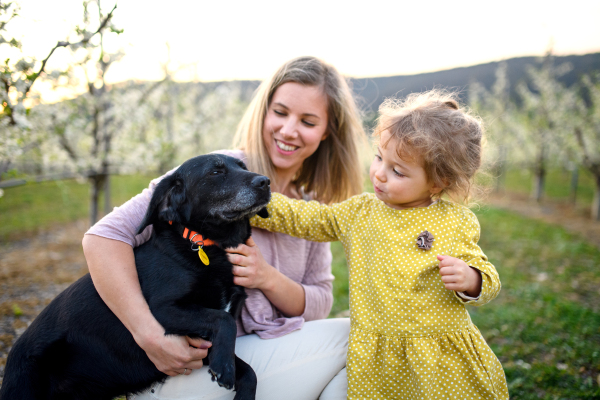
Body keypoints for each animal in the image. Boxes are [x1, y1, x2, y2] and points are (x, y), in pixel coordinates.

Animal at [0, 155, 270, 400]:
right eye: (216, 172)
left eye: (243, 166)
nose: (265, 182)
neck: (212, 247)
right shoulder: (163, 310)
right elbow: (223, 319)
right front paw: (225, 366)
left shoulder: (203, 347)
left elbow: (249, 373)